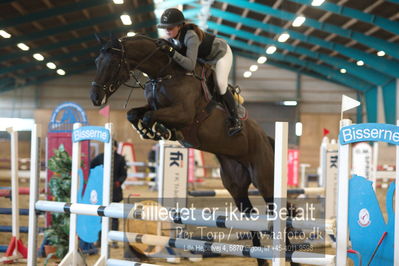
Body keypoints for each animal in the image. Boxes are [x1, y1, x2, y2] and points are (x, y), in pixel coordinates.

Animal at [90, 34, 278, 264]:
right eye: (97, 62)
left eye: (112, 64)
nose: (95, 98)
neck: (163, 74)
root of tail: (265, 138)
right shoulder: (155, 106)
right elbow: (134, 113)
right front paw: (149, 131)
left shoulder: (183, 114)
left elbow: (149, 116)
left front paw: (162, 131)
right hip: (235, 185)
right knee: (250, 219)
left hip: (265, 180)